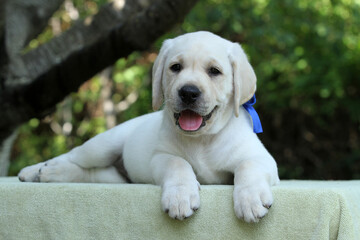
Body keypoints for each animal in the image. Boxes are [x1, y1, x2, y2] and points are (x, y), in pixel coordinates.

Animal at [18, 31, 280, 223]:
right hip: (103, 145)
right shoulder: (161, 156)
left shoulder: (263, 160)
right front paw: (180, 197)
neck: (202, 140)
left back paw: (50, 173)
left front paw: (251, 199)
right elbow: (178, 163)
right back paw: (37, 171)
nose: (188, 92)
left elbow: (248, 165)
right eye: (175, 67)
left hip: (118, 178)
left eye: (214, 71)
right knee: (73, 156)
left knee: (92, 174)